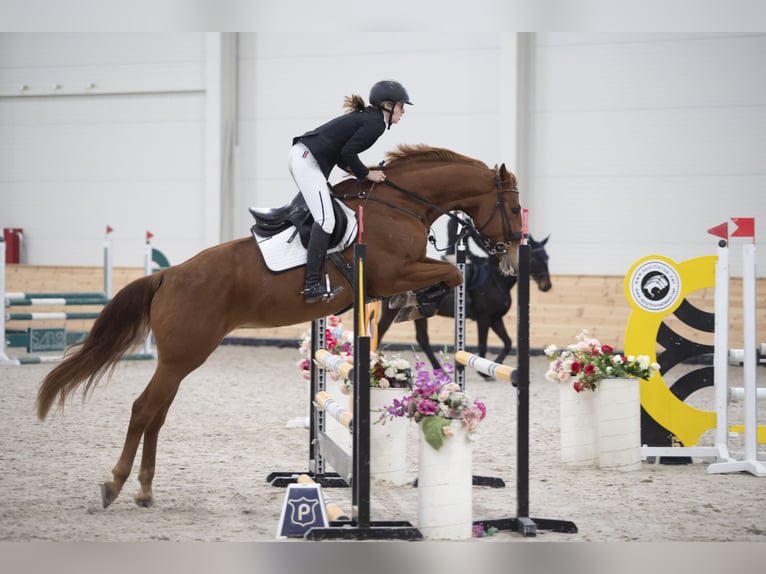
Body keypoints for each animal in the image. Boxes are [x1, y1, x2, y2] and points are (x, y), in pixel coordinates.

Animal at [35, 144, 523, 509]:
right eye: (516, 207)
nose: (513, 258)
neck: (399, 205)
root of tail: (167, 276)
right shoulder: (392, 273)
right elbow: (451, 272)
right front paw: (417, 302)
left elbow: (448, 273)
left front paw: (417, 303)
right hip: (183, 356)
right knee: (143, 410)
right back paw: (116, 483)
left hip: (179, 360)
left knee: (156, 414)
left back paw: (145, 489)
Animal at [375, 235, 551, 379]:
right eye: (534, 257)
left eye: (547, 257)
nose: (546, 286)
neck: (496, 280)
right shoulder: (484, 318)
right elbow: (483, 344)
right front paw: (483, 373)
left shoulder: (495, 319)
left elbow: (508, 343)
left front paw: (497, 364)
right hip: (392, 311)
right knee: (381, 329)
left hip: (416, 312)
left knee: (422, 338)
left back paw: (440, 370)